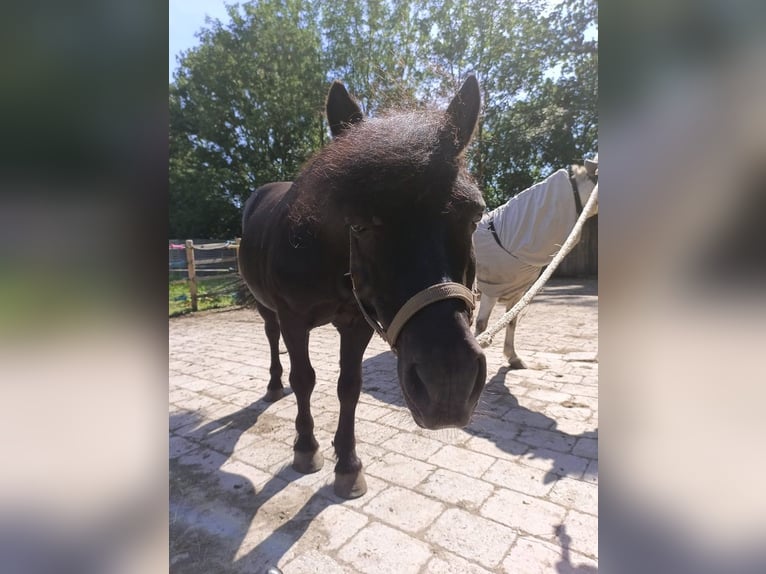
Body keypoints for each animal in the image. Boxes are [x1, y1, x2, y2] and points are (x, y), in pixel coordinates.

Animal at [240, 77, 488, 500]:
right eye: (359, 224)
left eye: (474, 216)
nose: (448, 382)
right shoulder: (294, 318)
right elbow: (304, 379)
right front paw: (306, 448)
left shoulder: (356, 324)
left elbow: (349, 387)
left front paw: (348, 465)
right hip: (267, 308)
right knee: (271, 337)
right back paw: (274, 386)